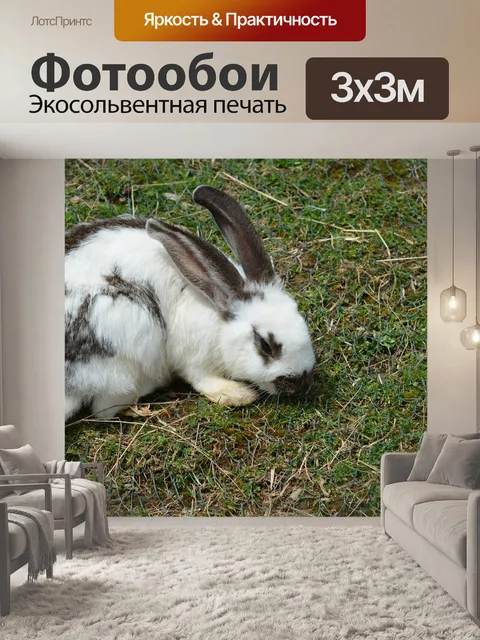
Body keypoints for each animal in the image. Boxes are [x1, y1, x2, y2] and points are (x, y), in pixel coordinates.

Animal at [64, 186, 316, 420]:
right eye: (265, 345)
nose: (303, 383)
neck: (216, 303)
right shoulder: (192, 357)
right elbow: (201, 378)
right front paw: (237, 393)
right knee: (105, 407)